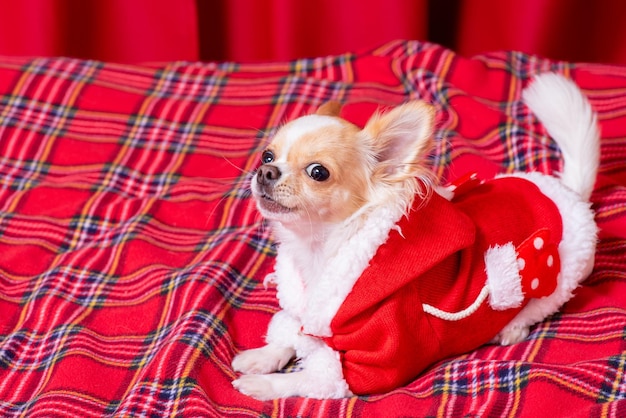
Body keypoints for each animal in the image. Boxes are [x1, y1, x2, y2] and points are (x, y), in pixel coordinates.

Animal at [230, 74, 600, 398]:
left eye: (318, 172)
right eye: (267, 155)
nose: (265, 171)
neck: (320, 250)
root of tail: (567, 192)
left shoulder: (375, 364)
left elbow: (311, 379)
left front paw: (264, 385)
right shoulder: (307, 314)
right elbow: (290, 333)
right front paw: (262, 356)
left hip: (551, 282)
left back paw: (512, 327)